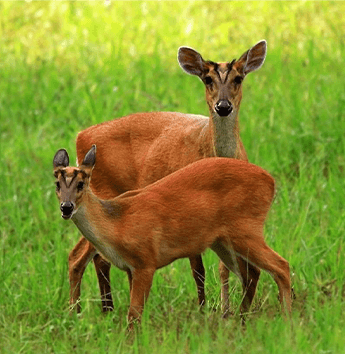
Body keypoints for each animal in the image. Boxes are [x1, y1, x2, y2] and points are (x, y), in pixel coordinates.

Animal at [53, 145, 290, 330]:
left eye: (81, 183)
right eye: (57, 183)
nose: (66, 207)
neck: (117, 224)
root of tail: (270, 182)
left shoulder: (146, 261)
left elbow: (134, 315)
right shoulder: (131, 268)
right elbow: (136, 314)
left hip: (246, 229)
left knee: (281, 266)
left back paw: (286, 321)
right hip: (223, 242)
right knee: (252, 273)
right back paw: (241, 321)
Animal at [67, 40, 266, 316]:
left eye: (239, 78)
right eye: (207, 79)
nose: (223, 106)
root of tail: (81, 136)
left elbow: (222, 267)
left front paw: (224, 311)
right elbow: (198, 269)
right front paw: (203, 310)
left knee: (98, 257)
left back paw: (106, 310)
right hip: (103, 192)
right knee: (79, 256)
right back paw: (78, 313)